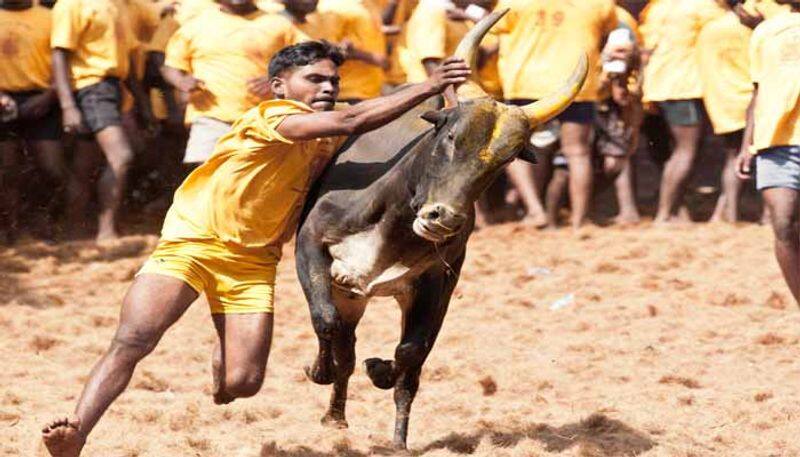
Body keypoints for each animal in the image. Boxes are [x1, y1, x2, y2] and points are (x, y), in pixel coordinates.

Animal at [296, 10, 588, 448]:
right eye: (451, 135)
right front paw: (318, 370)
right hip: (348, 292)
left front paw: (383, 381)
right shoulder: (312, 246)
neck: (394, 219)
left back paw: (378, 431)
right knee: (343, 346)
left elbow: (410, 354)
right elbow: (325, 320)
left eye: (505, 160)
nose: (444, 218)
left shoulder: (438, 284)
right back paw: (334, 414)